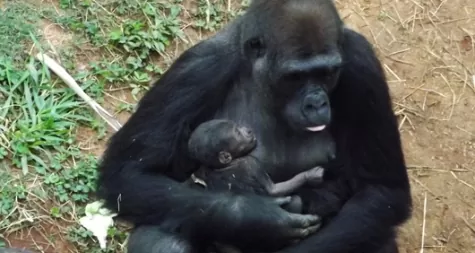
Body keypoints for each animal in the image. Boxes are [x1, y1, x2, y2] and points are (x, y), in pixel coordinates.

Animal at [186, 120, 324, 213]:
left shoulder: (203, 170)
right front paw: (310, 175)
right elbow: (274, 190)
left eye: (238, 127)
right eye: (237, 132)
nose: (248, 130)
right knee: (295, 201)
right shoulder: (252, 163)